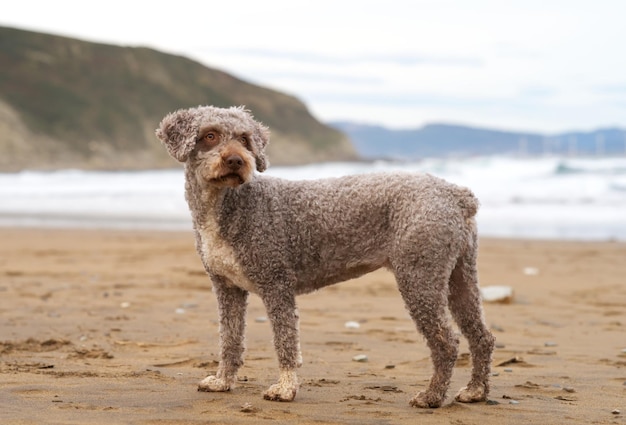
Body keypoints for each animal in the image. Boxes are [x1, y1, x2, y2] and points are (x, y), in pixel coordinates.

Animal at [155, 106, 492, 408]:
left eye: (245, 138)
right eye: (210, 135)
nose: (237, 160)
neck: (230, 205)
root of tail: (456, 194)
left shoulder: (276, 285)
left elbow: (285, 342)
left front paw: (285, 388)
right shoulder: (227, 288)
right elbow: (230, 340)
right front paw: (223, 381)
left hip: (419, 277)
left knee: (447, 342)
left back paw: (432, 396)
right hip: (459, 277)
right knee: (482, 336)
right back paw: (475, 391)